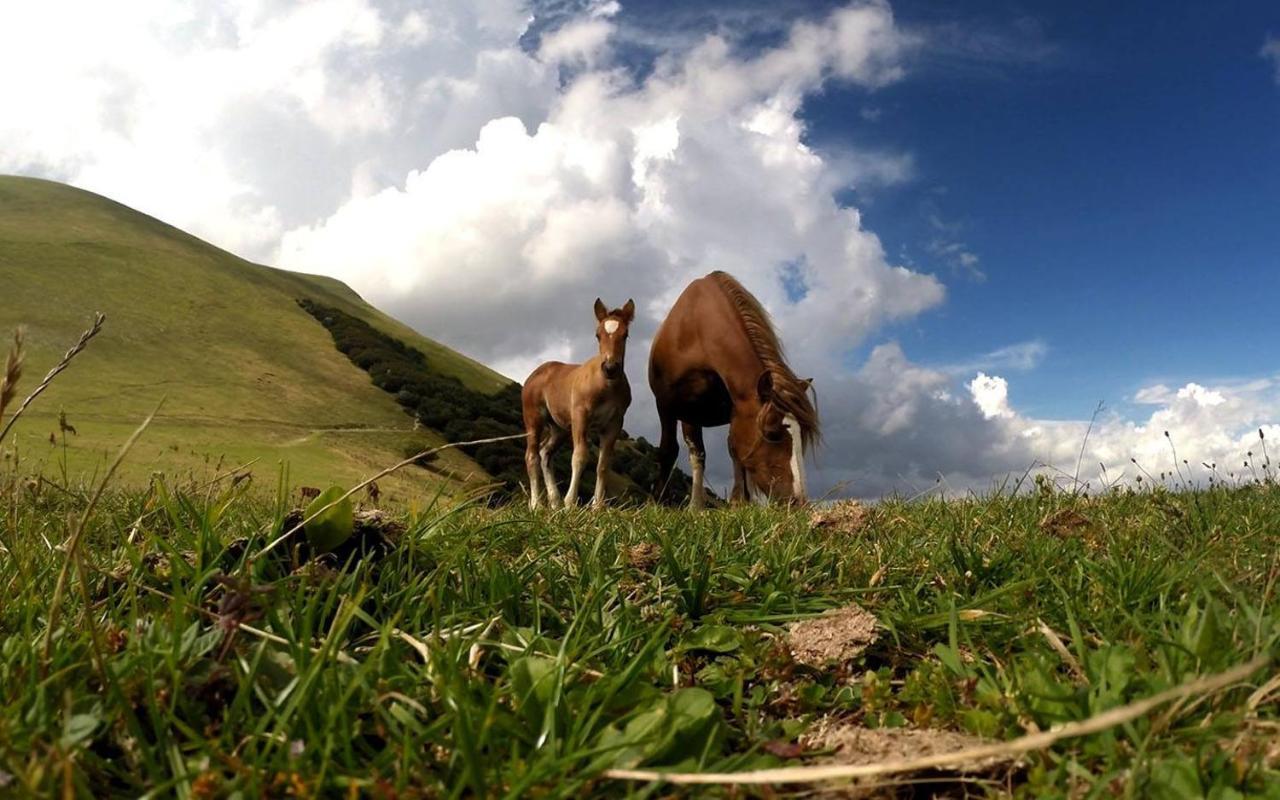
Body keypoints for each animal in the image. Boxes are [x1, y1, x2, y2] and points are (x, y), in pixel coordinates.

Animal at [522, 296, 637, 509]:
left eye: (625, 334)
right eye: (597, 335)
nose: (610, 368)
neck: (606, 385)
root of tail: (535, 374)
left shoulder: (614, 423)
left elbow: (603, 464)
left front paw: (597, 507)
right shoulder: (580, 416)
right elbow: (580, 456)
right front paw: (571, 504)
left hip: (560, 428)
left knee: (545, 453)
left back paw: (555, 502)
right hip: (534, 418)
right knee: (532, 456)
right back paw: (536, 505)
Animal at [650, 268, 819, 504]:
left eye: (802, 434)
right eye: (771, 432)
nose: (798, 502)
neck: (695, 333)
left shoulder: (737, 406)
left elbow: (734, 447)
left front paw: (740, 502)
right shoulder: (665, 404)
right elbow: (668, 450)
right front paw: (655, 501)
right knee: (696, 453)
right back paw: (695, 505)